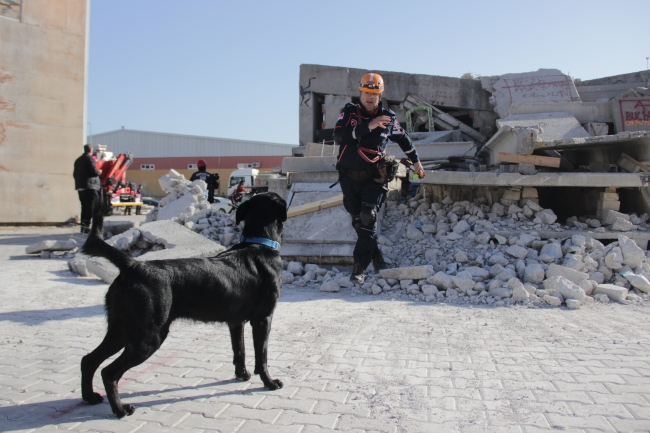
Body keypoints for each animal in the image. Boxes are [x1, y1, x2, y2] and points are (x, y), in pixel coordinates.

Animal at [79, 192, 286, 416]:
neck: (259, 243)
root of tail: (134, 266)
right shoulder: (263, 319)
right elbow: (261, 356)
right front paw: (269, 382)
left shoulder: (235, 322)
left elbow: (239, 351)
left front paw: (242, 374)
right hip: (148, 336)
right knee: (109, 372)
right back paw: (119, 409)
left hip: (121, 330)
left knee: (88, 360)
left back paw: (90, 397)